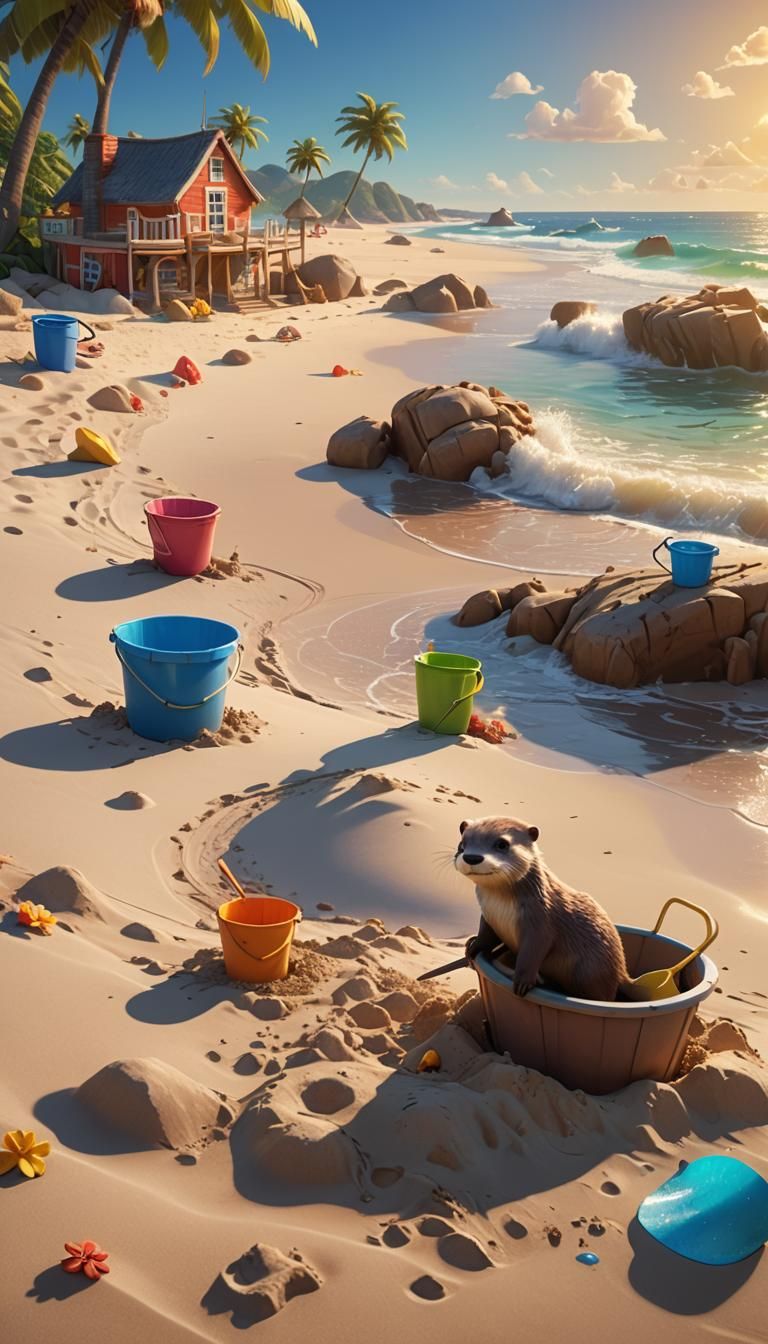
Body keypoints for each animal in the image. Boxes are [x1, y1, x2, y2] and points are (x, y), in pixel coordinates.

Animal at [455, 816, 628, 1001]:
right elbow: (485, 934)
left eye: (502, 844)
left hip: (591, 973)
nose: (472, 857)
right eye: (462, 843)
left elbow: (531, 954)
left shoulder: (541, 921)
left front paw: (523, 982)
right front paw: (473, 946)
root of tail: (622, 972)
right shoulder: (488, 916)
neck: (498, 908)